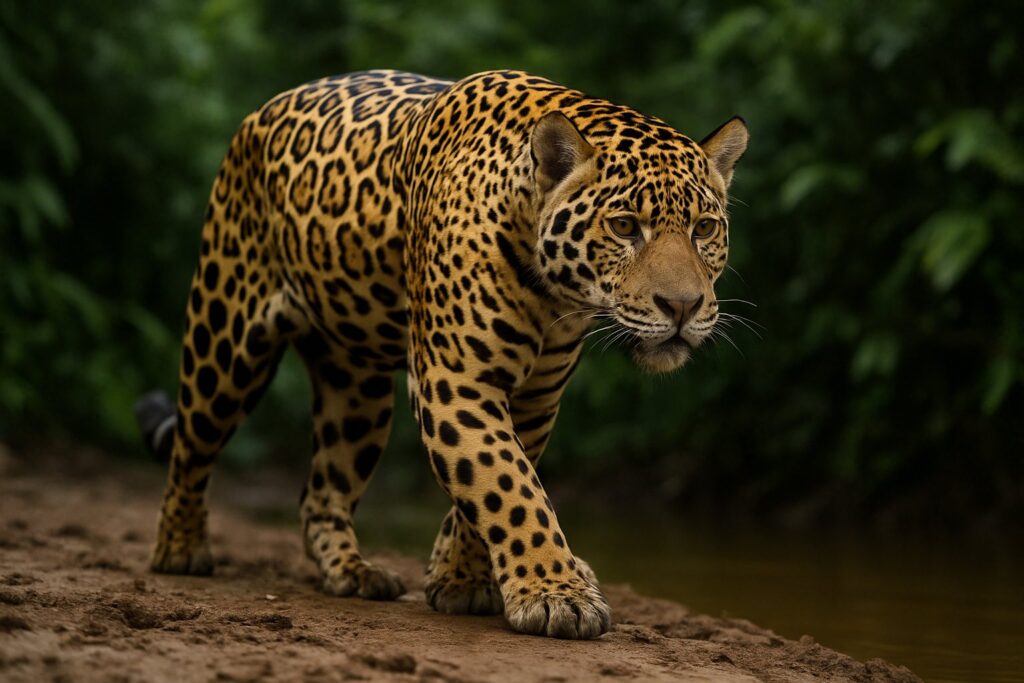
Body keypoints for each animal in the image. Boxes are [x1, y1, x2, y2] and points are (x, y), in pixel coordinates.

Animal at [135, 69, 748, 640]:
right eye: (623, 226)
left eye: (704, 228)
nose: (682, 306)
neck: (554, 292)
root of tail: (265, 109)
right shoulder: (457, 380)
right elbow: (512, 488)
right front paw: (557, 595)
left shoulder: (534, 399)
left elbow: (487, 490)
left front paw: (461, 579)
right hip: (226, 339)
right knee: (192, 445)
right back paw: (180, 550)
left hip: (356, 393)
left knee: (322, 489)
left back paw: (353, 571)